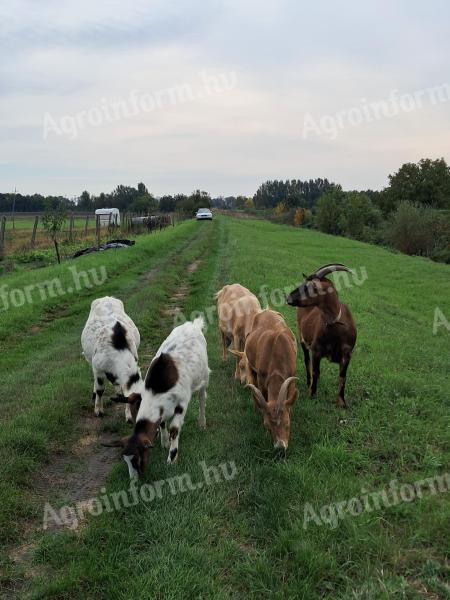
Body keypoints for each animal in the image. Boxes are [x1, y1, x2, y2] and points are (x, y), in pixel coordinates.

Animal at [108, 316, 210, 480]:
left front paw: (172, 459)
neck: (157, 389)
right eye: (125, 460)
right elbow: (162, 423)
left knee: (202, 399)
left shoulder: (182, 402)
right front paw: (164, 442)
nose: (134, 479)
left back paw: (202, 423)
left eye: (137, 458)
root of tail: (193, 325)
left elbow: (174, 428)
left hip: (204, 377)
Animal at [286, 262, 356, 408]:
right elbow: (315, 371)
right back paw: (309, 382)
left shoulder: (347, 354)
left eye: (311, 287)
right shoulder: (316, 350)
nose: (288, 298)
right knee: (307, 361)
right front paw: (312, 394)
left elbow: (343, 377)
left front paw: (342, 402)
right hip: (302, 339)